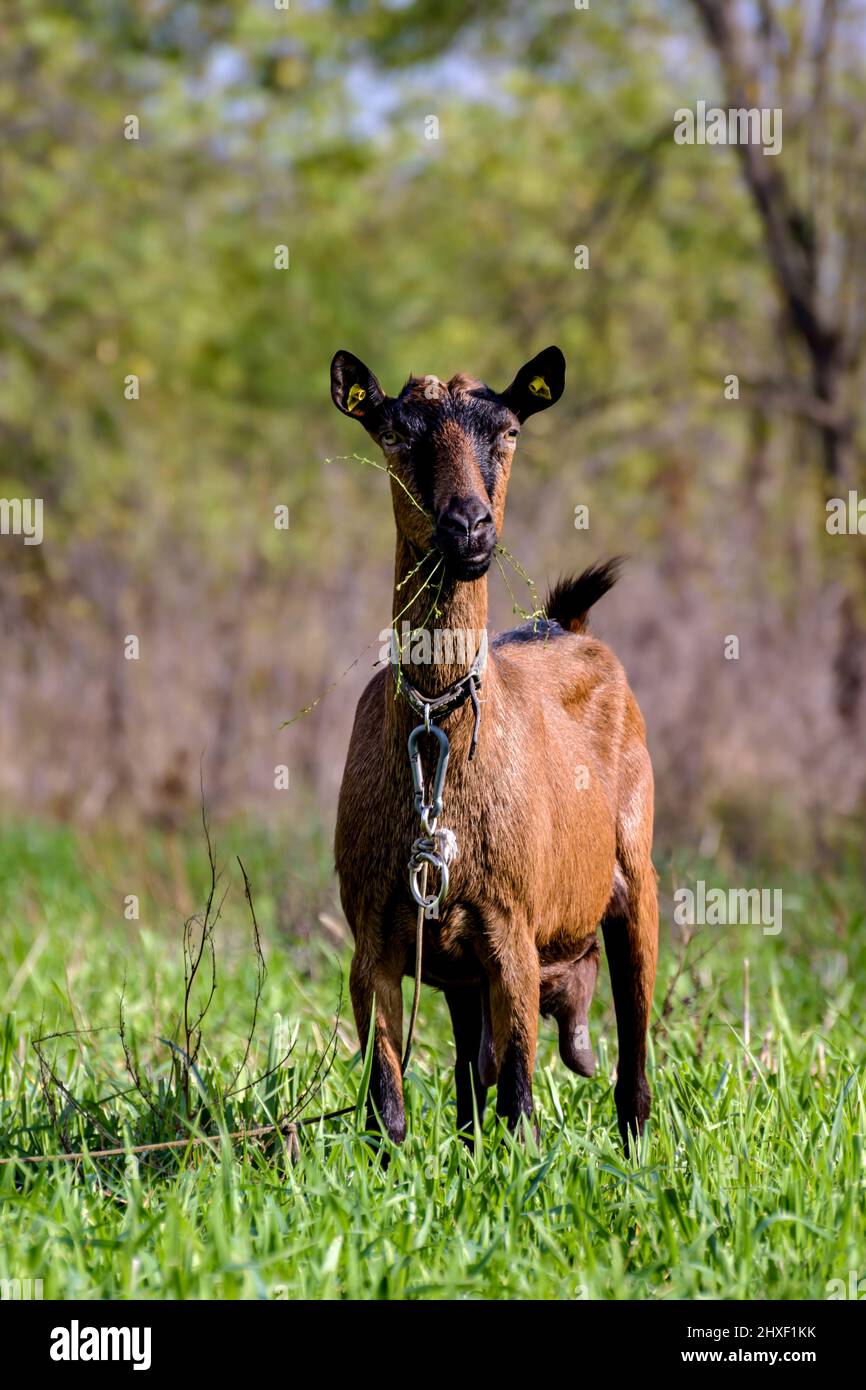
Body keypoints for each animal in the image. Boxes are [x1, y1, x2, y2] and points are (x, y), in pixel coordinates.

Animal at [330, 341, 656, 1145]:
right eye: (394, 432)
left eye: (508, 431)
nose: (469, 526)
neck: (435, 743)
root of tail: (567, 626)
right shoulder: (375, 939)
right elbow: (388, 1103)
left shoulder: (513, 932)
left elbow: (519, 1102)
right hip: (458, 967)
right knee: (465, 1080)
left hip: (636, 877)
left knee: (633, 1054)